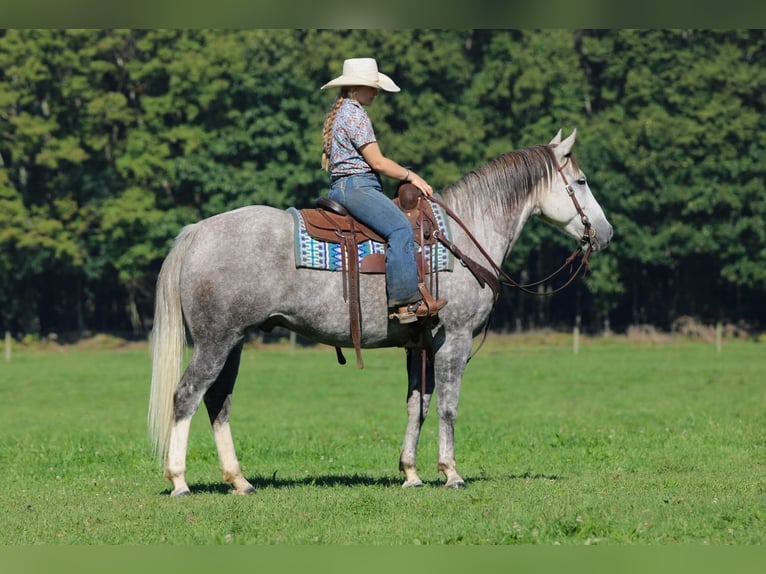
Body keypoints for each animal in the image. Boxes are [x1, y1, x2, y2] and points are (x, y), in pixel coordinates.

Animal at [148, 129, 613, 496]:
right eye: (581, 180)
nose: (606, 232)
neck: (463, 237)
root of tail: (198, 232)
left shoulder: (418, 346)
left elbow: (416, 405)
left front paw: (411, 473)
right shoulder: (454, 340)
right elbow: (447, 407)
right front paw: (451, 473)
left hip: (235, 341)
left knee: (218, 401)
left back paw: (239, 480)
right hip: (215, 341)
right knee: (187, 396)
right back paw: (179, 480)